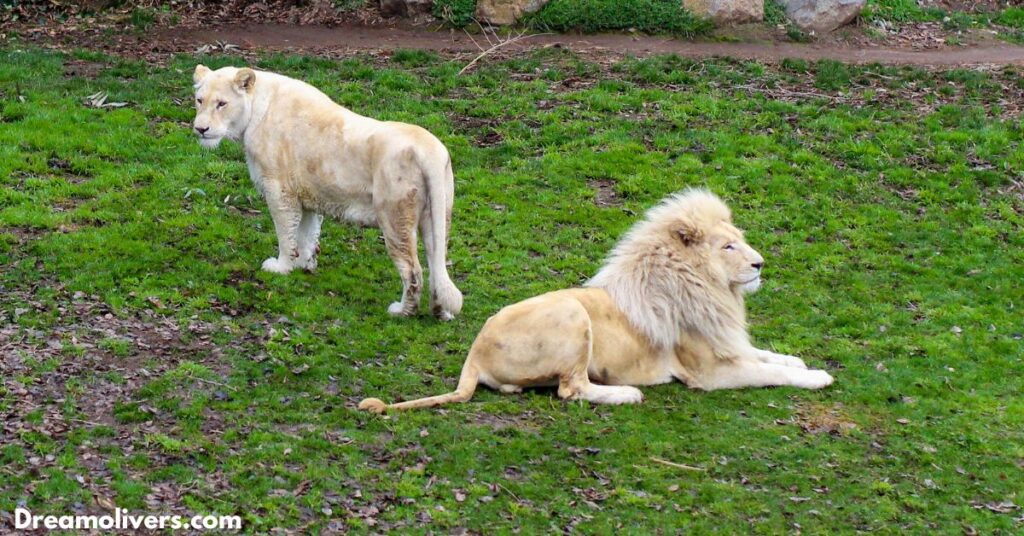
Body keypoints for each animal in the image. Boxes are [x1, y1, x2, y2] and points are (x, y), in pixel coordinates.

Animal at [192, 65, 464, 321]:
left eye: (222, 104)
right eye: (199, 100)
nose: (200, 129)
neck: (256, 109)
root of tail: (430, 150)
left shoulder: (279, 190)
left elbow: (285, 233)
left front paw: (281, 267)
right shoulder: (307, 194)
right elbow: (306, 232)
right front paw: (304, 263)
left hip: (394, 217)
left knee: (413, 270)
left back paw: (401, 312)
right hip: (438, 214)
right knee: (437, 264)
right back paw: (441, 312)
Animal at [360, 190, 831, 414]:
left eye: (740, 241)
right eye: (728, 246)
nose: (760, 263)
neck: (711, 289)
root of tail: (473, 354)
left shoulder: (726, 343)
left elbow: (768, 356)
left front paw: (799, 360)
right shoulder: (709, 371)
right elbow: (767, 372)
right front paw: (818, 377)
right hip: (572, 313)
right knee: (571, 389)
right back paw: (626, 394)